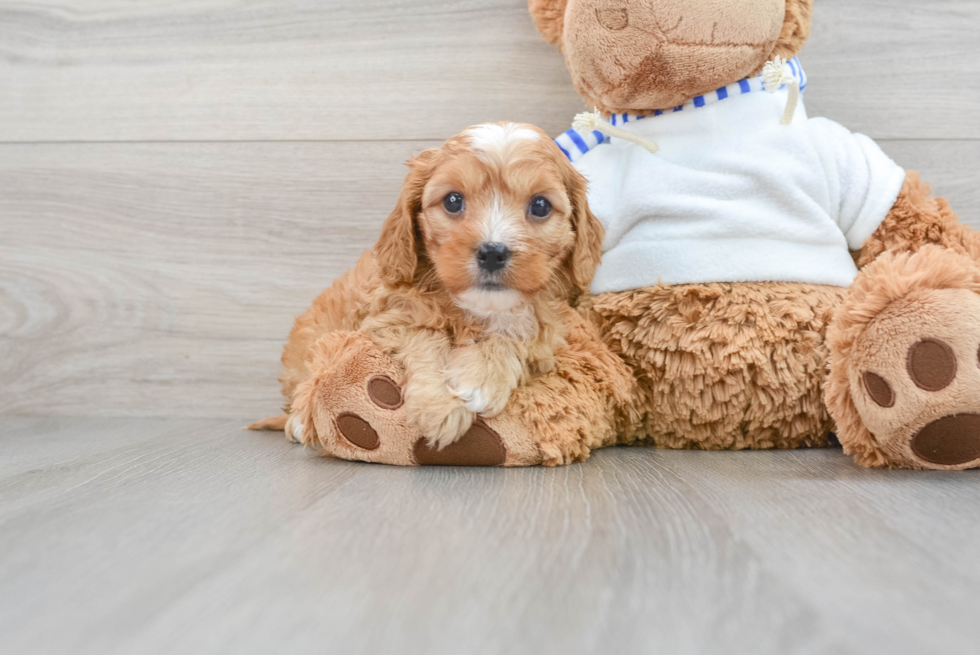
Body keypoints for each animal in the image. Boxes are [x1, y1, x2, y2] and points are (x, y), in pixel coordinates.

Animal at [253, 121, 628, 462]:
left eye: (540, 206)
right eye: (452, 201)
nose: (493, 252)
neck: (474, 309)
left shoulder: (548, 326)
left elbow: (519, 327)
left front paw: (482, 377)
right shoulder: (385, 320)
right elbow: (425, 334)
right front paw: (442, 406)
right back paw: (298, 422)